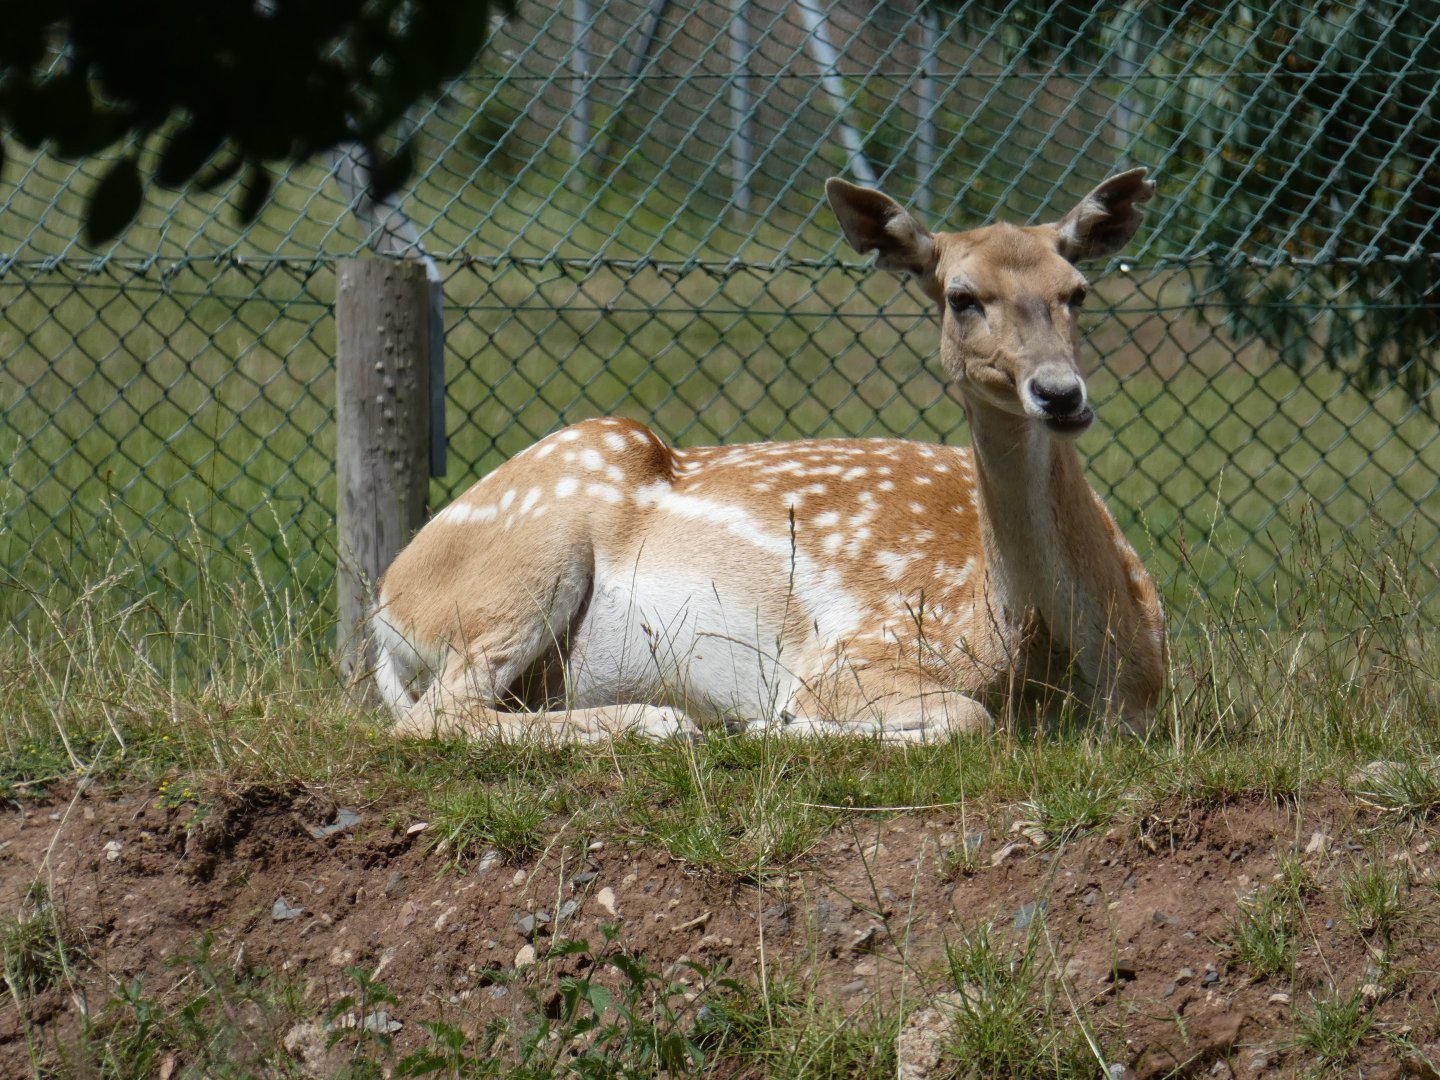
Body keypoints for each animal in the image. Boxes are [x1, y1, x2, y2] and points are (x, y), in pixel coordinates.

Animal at [369, 169, 1167, 744]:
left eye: (1078, 291)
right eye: (961, 297)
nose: (1061, 394)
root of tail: (386, 608)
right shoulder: (849, 655)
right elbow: (968, 718)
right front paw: (768, 723)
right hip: (522, 567)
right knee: (431, 719)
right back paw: (667, 720)